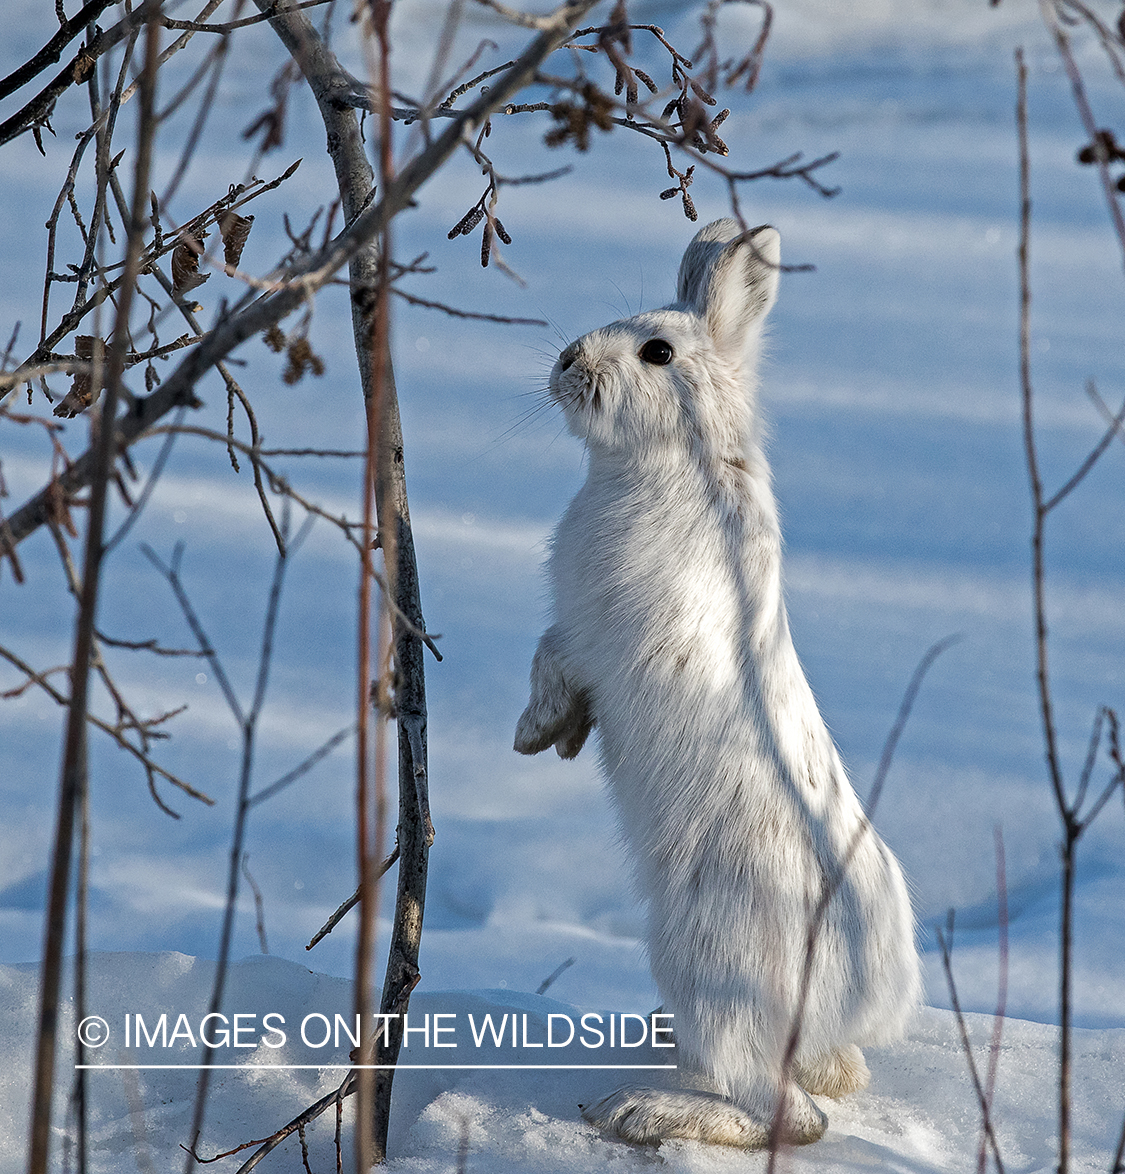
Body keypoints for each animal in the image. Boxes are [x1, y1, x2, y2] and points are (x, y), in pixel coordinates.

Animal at [514, 218, 920, 1148]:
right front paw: (554, 737)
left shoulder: (593, 627)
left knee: (794, 1118)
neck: (681, 456)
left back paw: (641, 1111)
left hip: (711, 967)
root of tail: (873, 998)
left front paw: (538, 729)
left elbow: (552, 653)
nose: (565, 363)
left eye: (656, 353)